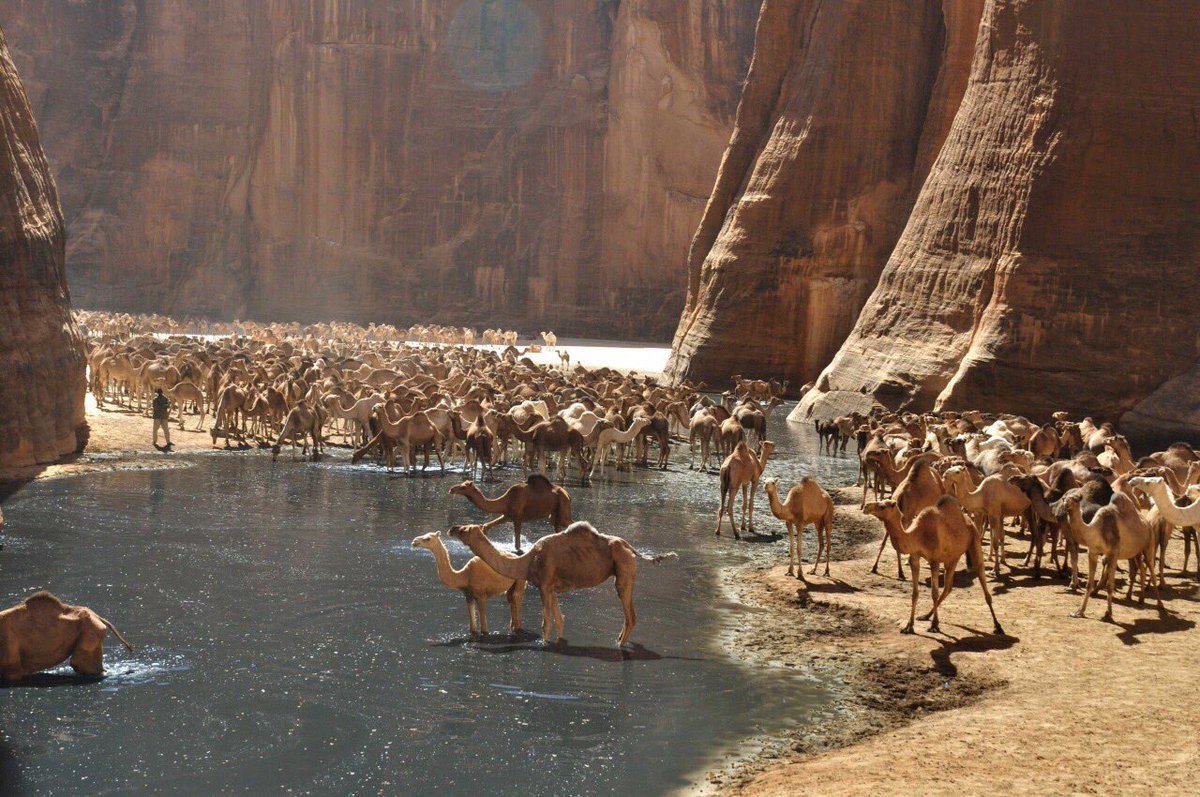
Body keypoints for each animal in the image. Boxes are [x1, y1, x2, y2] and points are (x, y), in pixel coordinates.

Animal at [447, 521, 676, 646]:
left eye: (465, 530)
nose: (452, 528)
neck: (527, 562)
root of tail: (631, 548)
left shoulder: (544, 584)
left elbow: (546, 623)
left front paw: (544, 643)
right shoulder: (552, 588)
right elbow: (559, 619)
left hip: (624, 570)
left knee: (630, 616)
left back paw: (619, 645)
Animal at [863, 498, 1003, 635]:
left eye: (882, 506)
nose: (866, 507)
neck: (917, 535)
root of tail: (969, 522)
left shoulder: (934, 560)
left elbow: (934, 592)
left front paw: (934, 625)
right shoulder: (915, 557)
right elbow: (915, 593)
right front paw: (909, 626)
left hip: (974, 542)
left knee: (981, 578)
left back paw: (998, 626)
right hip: (952, 557)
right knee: (948, 587)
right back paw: (926, 616)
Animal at [1062, 491, 1160, 621]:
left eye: (1075, 499)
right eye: (1064, 497)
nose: (1065, 503)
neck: (1096, 530)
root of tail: (1147, 524)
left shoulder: (1113, 553)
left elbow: (1109, 586)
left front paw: (1108, 614)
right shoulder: (1092, 552)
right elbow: (1089, 584)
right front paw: (1079, 612)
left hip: (1149, 544)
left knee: (1151, 571)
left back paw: (1160, 605)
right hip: (1136, 552)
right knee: (1142, 569)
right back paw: (1141, 599)